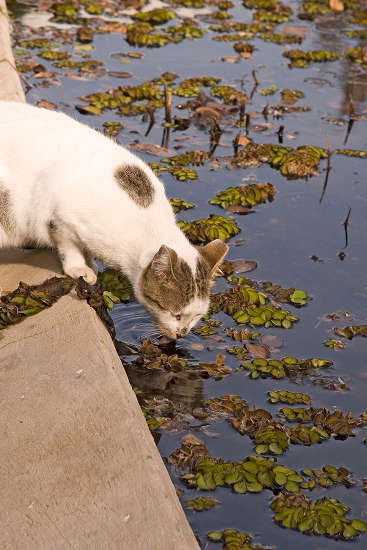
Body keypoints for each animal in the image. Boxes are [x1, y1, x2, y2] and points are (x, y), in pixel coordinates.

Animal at [0, 101, 229, 338]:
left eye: (197, 316)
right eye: (175, 313)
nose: (182, 333)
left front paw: (90, 264)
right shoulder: (61, 217)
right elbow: (69, 247)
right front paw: (79, 269)